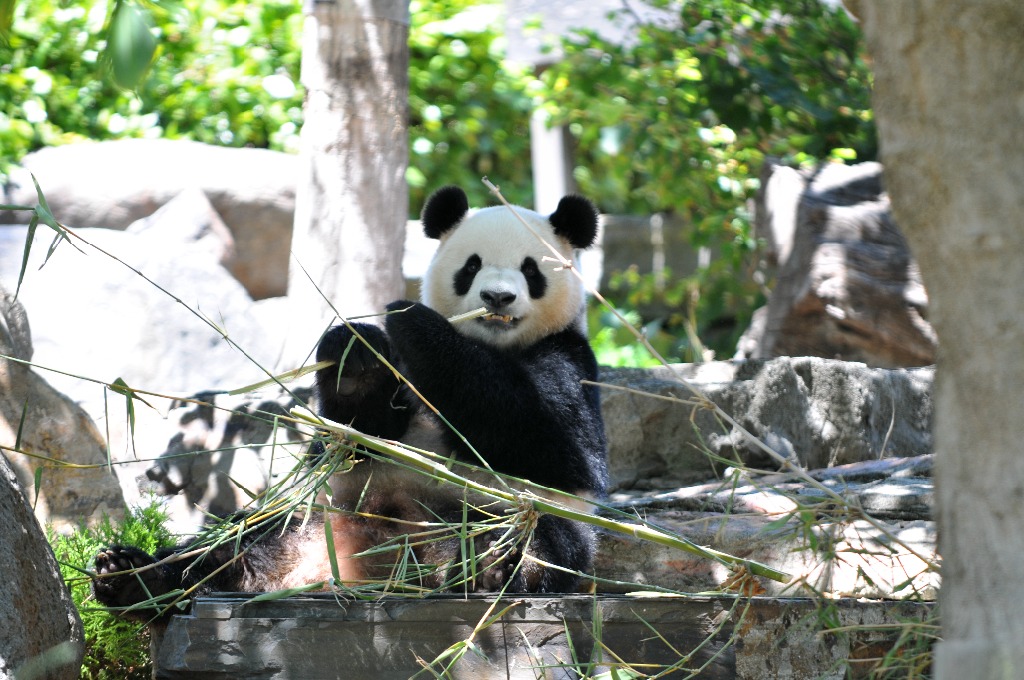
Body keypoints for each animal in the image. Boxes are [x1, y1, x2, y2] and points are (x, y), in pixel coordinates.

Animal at [92, 187, 606, 614]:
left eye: (530, 269)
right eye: (472, 266)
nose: (496, 297)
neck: (491, 344)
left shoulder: (570, 360)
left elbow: (548, 441)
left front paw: (416, 322)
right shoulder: (389, 409)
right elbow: (357, 435)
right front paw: (355, 350)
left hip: (522, 519)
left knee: (534, 540)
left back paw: (488, 564)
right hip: (306, 514)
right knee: (229, 542)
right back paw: (130, 576)